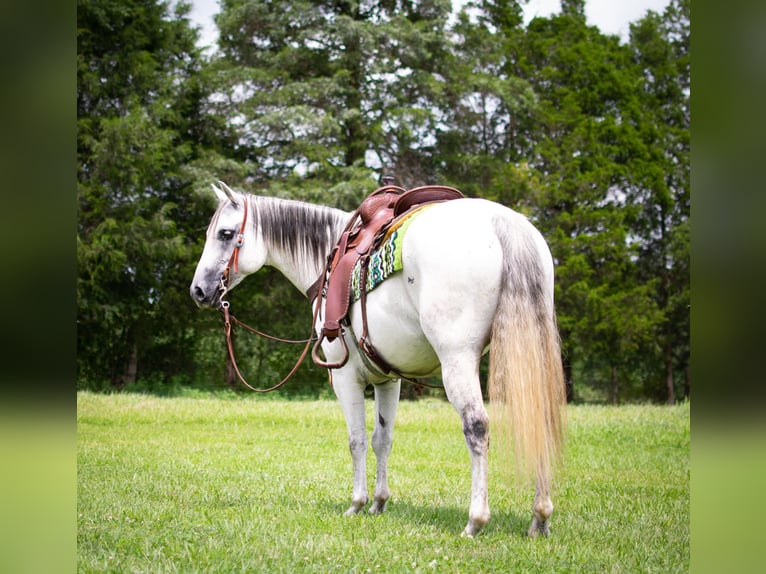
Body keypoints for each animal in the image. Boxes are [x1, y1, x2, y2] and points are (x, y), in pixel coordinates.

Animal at [189, 182, 568, 536]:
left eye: (225, 234)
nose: (199, 291)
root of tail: (503, 223)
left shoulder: (345, 377)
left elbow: (356, 440)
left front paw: (357, 503)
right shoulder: (390, 379)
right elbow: (381, 439)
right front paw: (379, 503)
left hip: (458, 362)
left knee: (476, 427)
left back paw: (476, 520)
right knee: (540, 418)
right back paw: (540, 517)